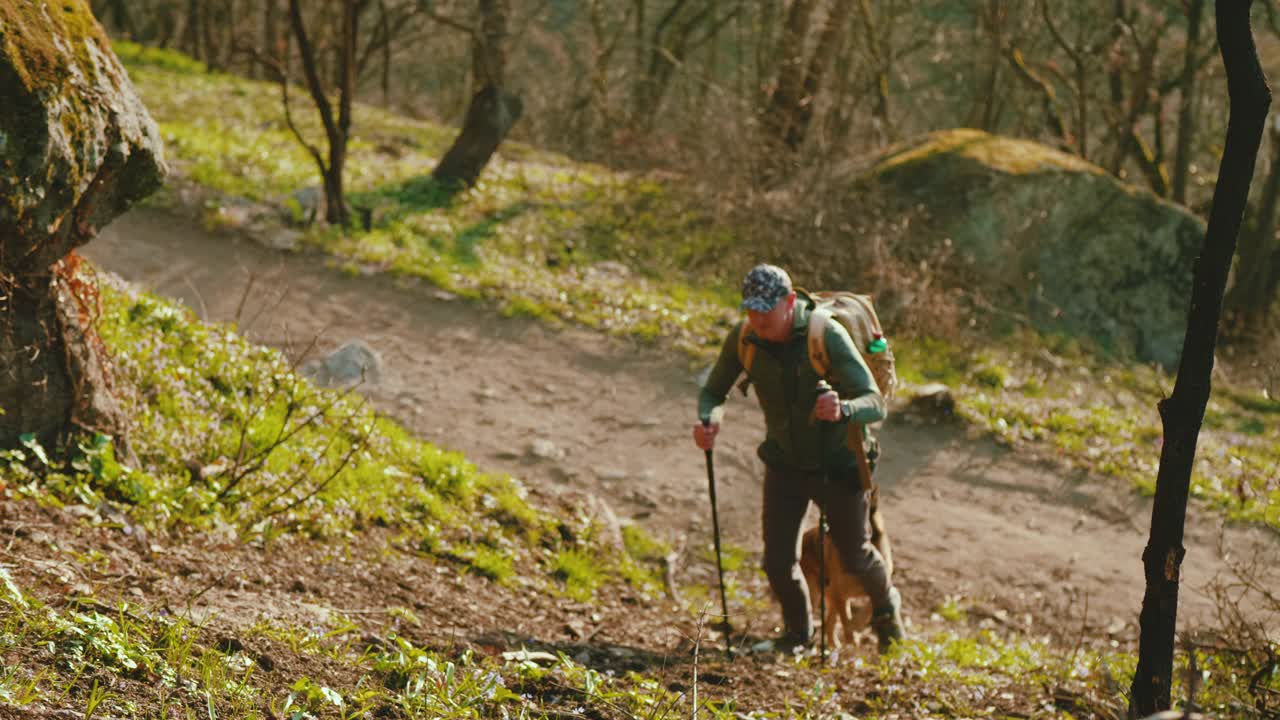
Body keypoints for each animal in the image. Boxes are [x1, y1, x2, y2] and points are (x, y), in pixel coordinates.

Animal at [798, 484, 890, 648]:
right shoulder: (840, 593)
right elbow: (846, 617)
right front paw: (852, 636)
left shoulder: (881, 586)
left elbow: (867, 608)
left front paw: (859, 627)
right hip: (815, 595)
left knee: (829, 622)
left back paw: (834, 645)